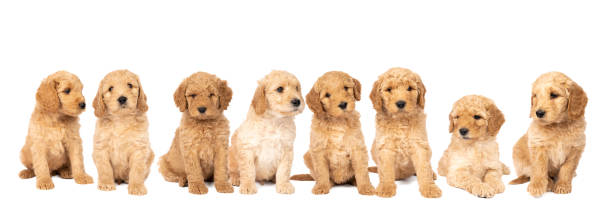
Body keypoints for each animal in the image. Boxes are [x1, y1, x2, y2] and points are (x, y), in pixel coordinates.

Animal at [368, 68, 440, 198]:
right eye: (389, 89)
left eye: (409, 88)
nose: (401, 103)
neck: (400, 120)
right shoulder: (385, 147)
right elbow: (386, 170)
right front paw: (386, 187)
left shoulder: (420, 145)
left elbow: (424, 168)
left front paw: (429, 188)